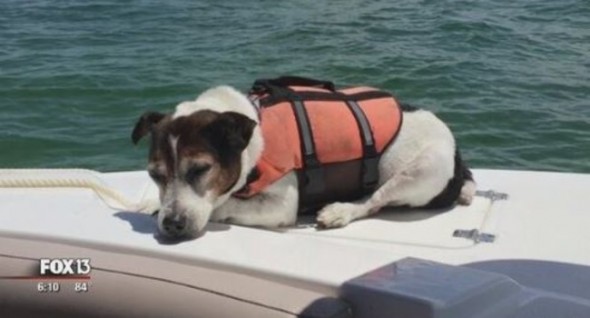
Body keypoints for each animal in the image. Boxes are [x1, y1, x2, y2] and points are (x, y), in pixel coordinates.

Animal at [133, 84, 476, 238]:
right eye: (154, 175)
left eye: (201, 169)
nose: (172, 224)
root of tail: (459, 159)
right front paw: (150, 203)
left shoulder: (281, 205)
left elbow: (225, 204)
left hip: (422, 169)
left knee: (375, 200)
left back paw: (340, 211)